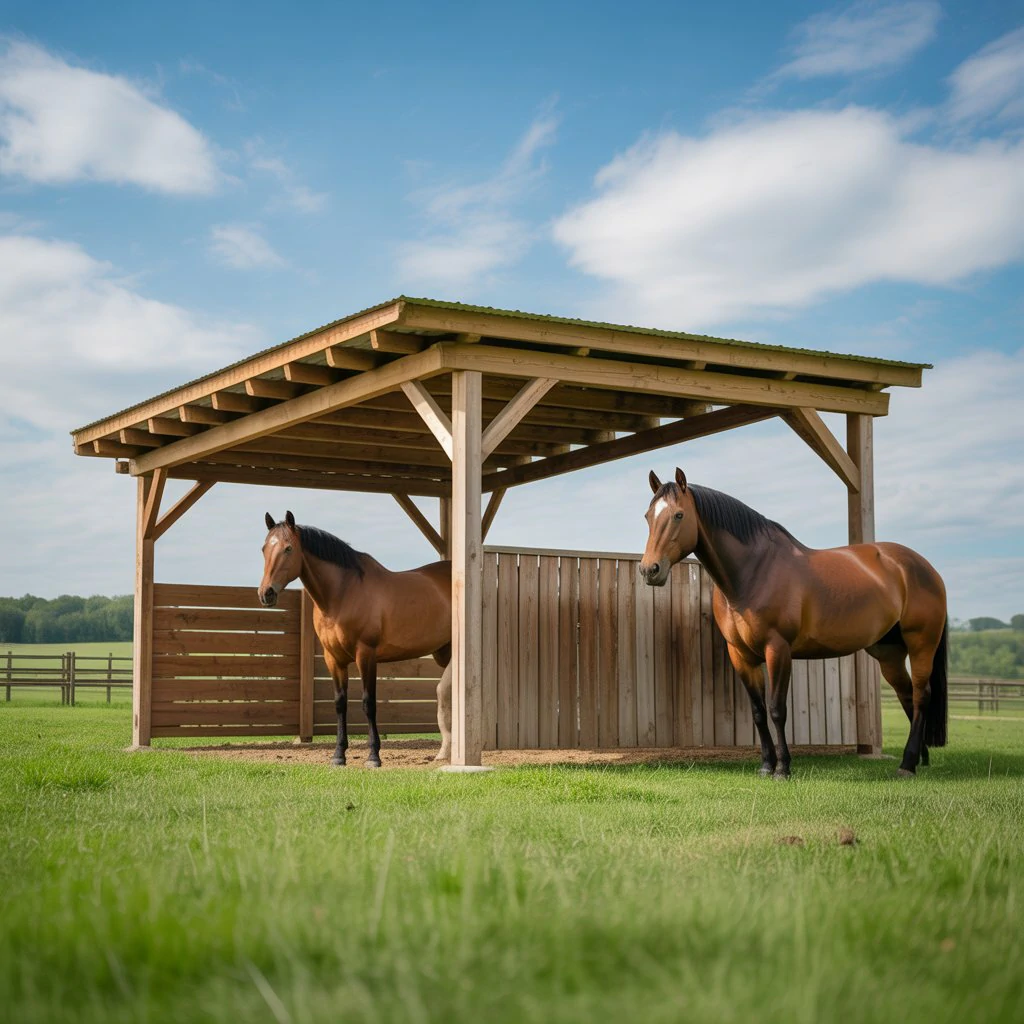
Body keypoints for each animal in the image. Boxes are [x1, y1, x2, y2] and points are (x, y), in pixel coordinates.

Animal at [257, 511, 453, 767]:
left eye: (288, 548)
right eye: (264, 548)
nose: (266, 593)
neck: (343, 593)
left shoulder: (366, 654)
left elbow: (368, 703)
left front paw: (373, 756)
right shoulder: (333, 659)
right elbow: (340, 704)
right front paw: (339, 755)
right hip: (445, 652)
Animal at [638, 468, 947, 778]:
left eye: (679, 515)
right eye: (648, 516)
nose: (650, 570)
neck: (754, 572)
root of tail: (925, 568)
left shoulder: (778, 649)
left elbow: (777, 709)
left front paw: (783, 768)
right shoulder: (740, 655)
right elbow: (758, 712)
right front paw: (766, 765)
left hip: (921, 644)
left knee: (921, 696)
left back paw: (907, 764)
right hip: (888, 653)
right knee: (907, 695)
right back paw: (917, 759)